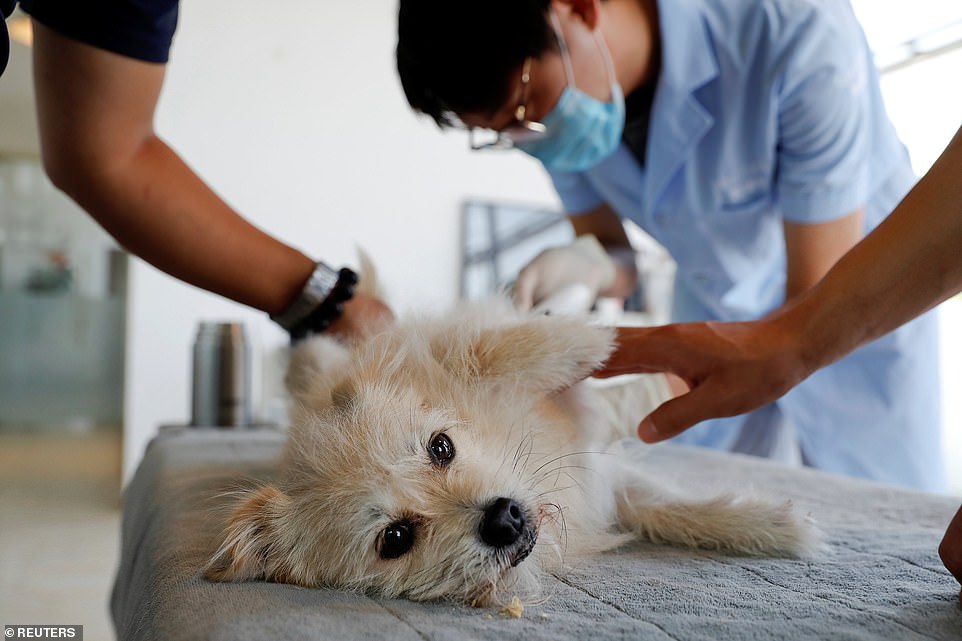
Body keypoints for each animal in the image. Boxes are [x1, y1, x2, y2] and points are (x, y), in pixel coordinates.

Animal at [204, 302, 816, 604]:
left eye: (442, 447)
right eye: (395, 539)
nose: (503, 518)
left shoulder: (440, 354)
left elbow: (484, 350)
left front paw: (587, 341)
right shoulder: (601, 485)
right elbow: (661, 509)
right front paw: (775, 526)